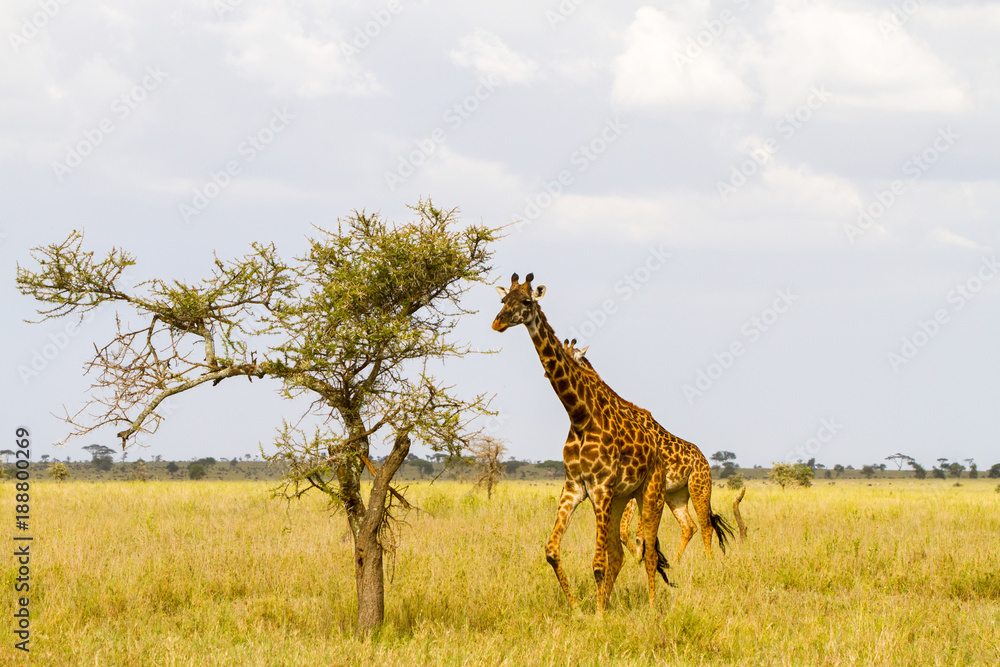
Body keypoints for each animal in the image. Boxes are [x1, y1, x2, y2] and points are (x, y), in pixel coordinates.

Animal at [492, 273, 670, 612]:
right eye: (503, 299)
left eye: (526, 301)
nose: (497, 323)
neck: (580, 415)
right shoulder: (575, 486)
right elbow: (552, 550)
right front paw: (577, 609)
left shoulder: (599, 487)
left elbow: (598, 563)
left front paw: (599, 617)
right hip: (620, 498)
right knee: (621, 553)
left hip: (649, 492)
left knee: (649, 551)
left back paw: (654, 609)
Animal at [561, 338, 734, 564]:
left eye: (569, 355)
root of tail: (704, 459)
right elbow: (631, 531)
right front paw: (639, 560)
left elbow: (635, 532)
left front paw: (639, 560)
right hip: (676, 494)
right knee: (689, 526)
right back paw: (676, 560)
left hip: (699, 487)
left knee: (706, 525)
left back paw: (709, 560)